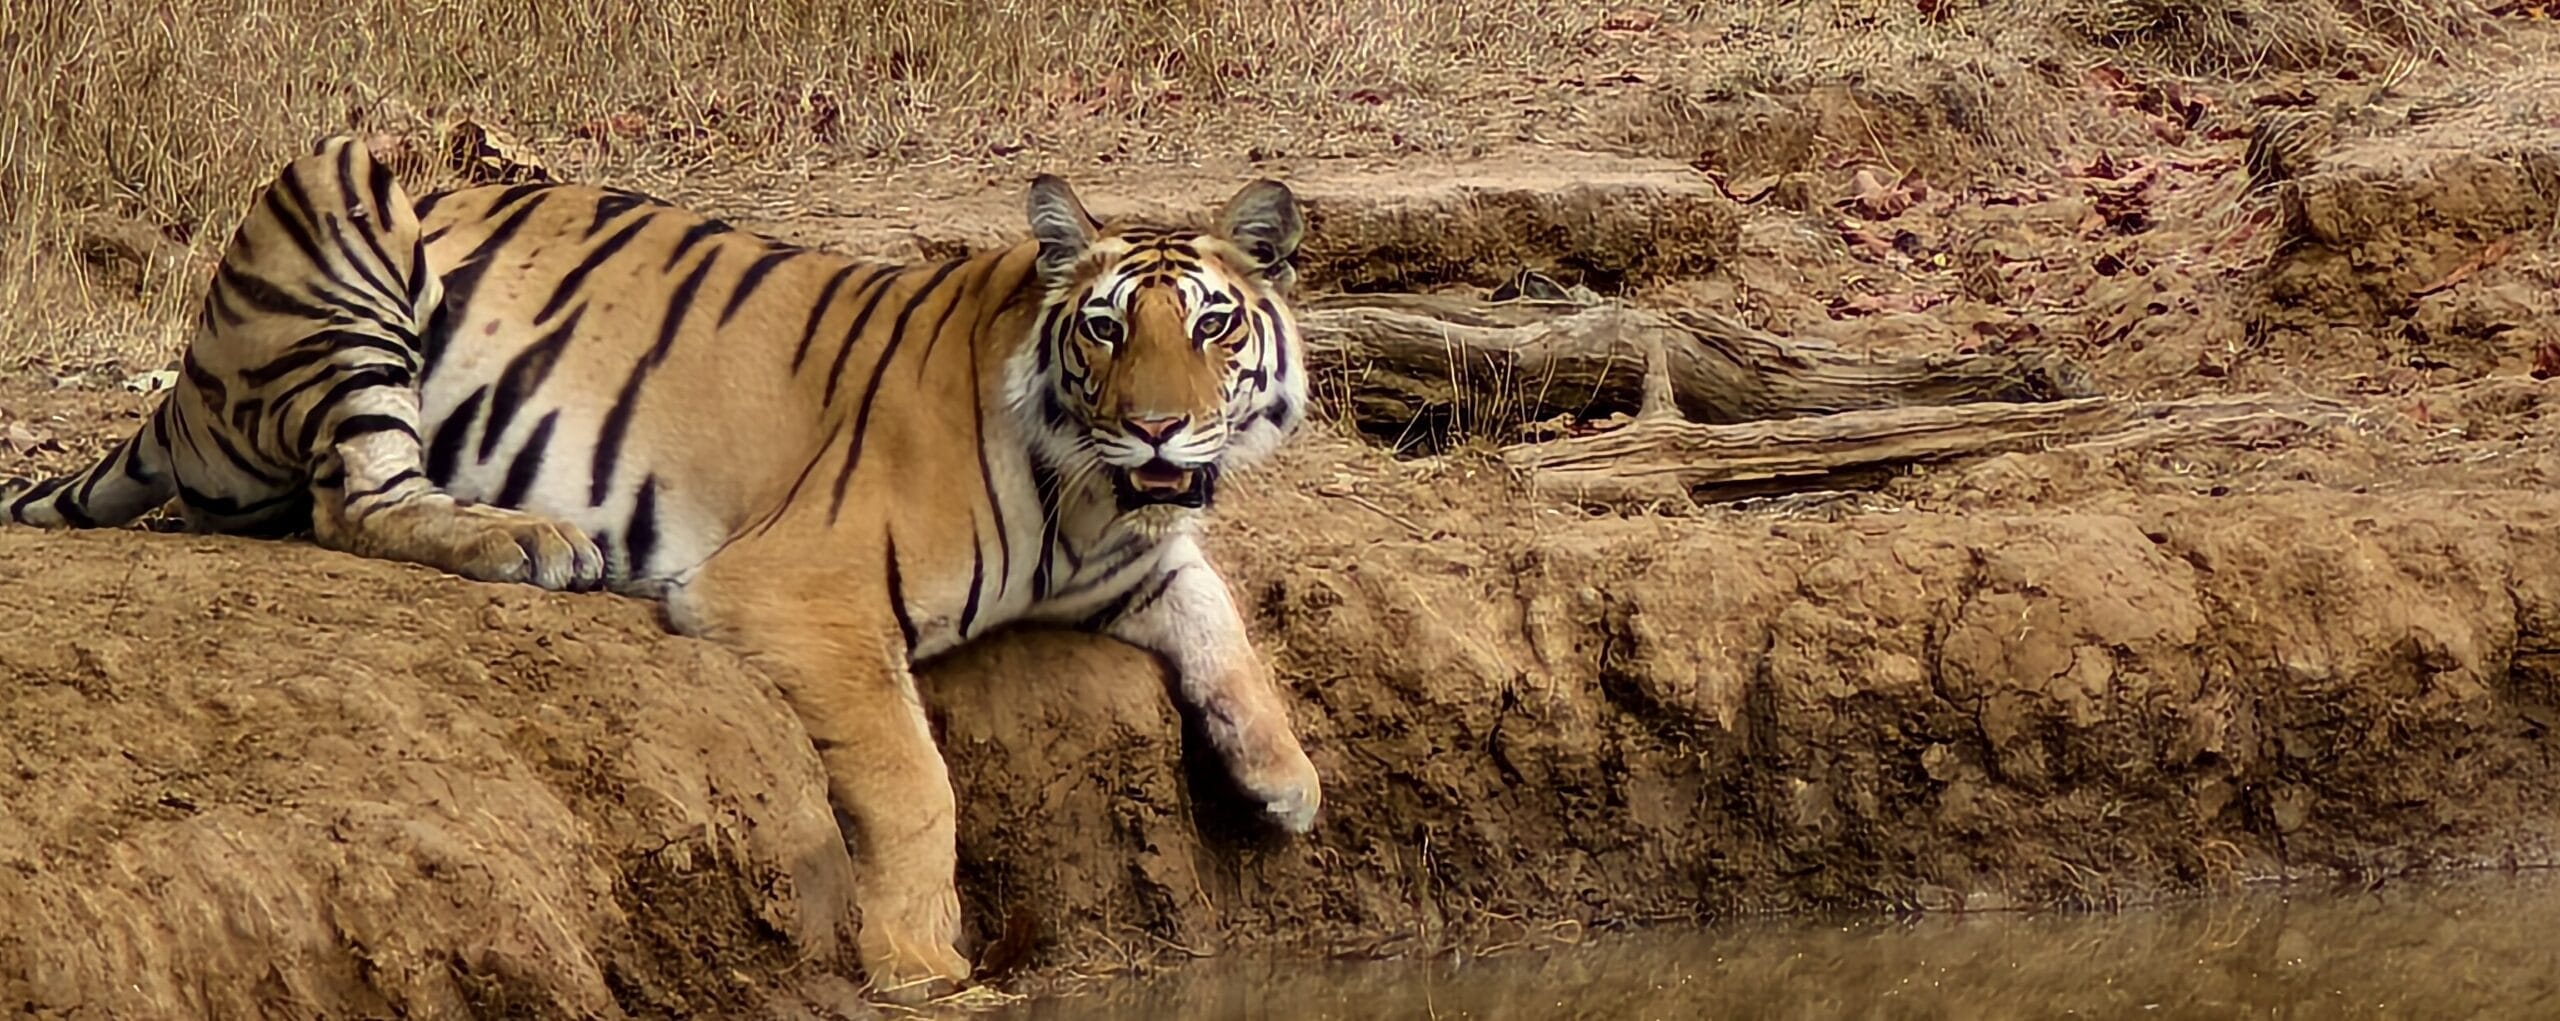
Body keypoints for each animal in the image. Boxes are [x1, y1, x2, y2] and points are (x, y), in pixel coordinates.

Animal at [0, 135, 1323, 1003]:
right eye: (1104, 327)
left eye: (1212, 326)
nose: (1158, 428)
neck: (1086, 495)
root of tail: (188, 377)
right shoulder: (801, 588)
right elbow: (913, 781)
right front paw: (919, 959)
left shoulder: (1131, 554)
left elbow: (1218, 617)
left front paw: (1287, 781)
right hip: (342, 189)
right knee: (355, 497)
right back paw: (529, 540)